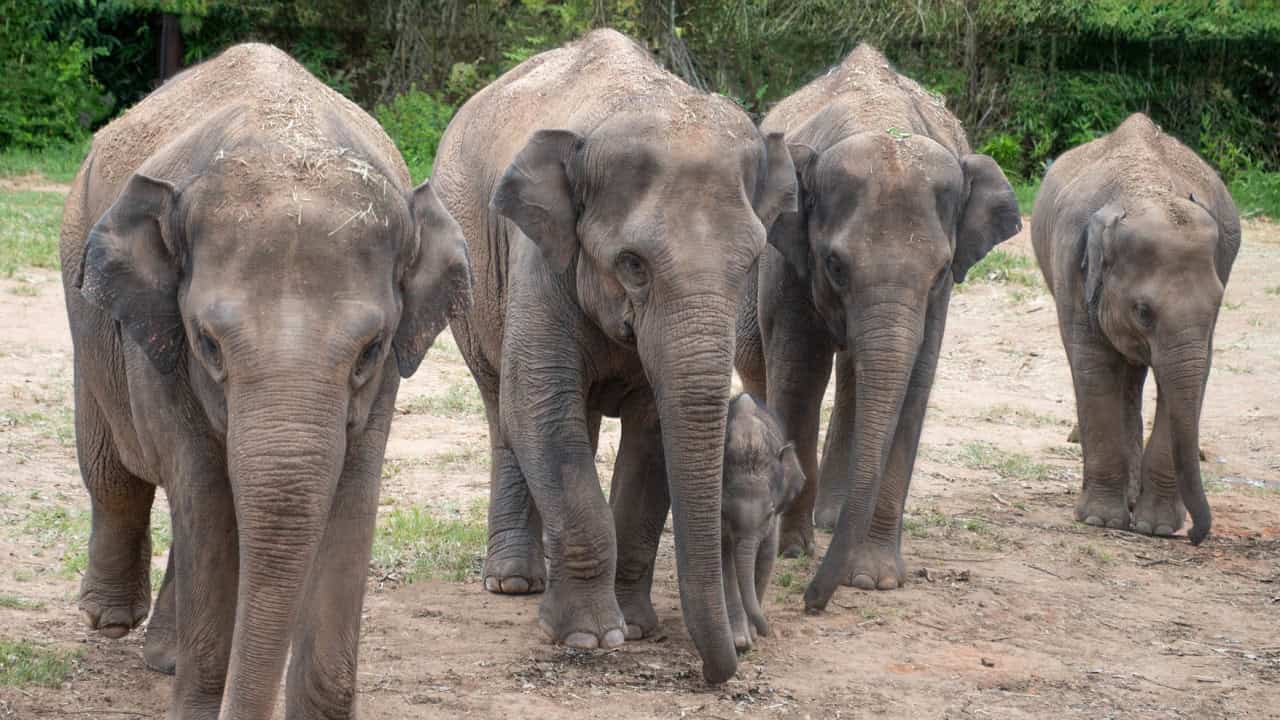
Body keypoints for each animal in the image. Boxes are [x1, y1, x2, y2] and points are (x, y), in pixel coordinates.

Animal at [60, 44, 470, 718]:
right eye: (207, 344)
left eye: (370, 349)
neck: (287, 140)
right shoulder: (163, 347)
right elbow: (203, 490)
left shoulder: (384, 383)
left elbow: (350, 495)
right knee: (115, 469)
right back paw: (111, 620)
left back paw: (162, 654)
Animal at [431, 29, 796, 683]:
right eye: (632, 263)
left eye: (752, 261)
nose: (727, 666)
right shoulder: (539, 260)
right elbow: (540, 410)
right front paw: (589, 638)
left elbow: (651, 434)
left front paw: (639, 629)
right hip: (471, 284)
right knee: (504, 409)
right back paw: (513, 583)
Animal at [720, 393, 805, 651]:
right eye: (725, 513)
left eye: (769, 513)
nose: (767, 631)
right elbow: (725, 561)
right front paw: (740, 641)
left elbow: (767, 555)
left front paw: (752, 635)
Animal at [734, 44, 1022, 612]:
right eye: (835, 264)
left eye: (942, 269)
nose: (811, 603)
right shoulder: (789, 259)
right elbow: (800, 372)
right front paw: (795, 549)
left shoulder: (938, 300)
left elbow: (914, 382)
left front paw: (874, 579)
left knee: (856, 373)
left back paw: (834, 518)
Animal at [1031, 112, 1241, 545]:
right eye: (1143, 311)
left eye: (1217, 306)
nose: (1196, 536)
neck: (1146, 190)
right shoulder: (1073, 270)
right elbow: (1093, 368)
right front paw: (1101, 521)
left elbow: (1192, 376)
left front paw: (1156, 528)